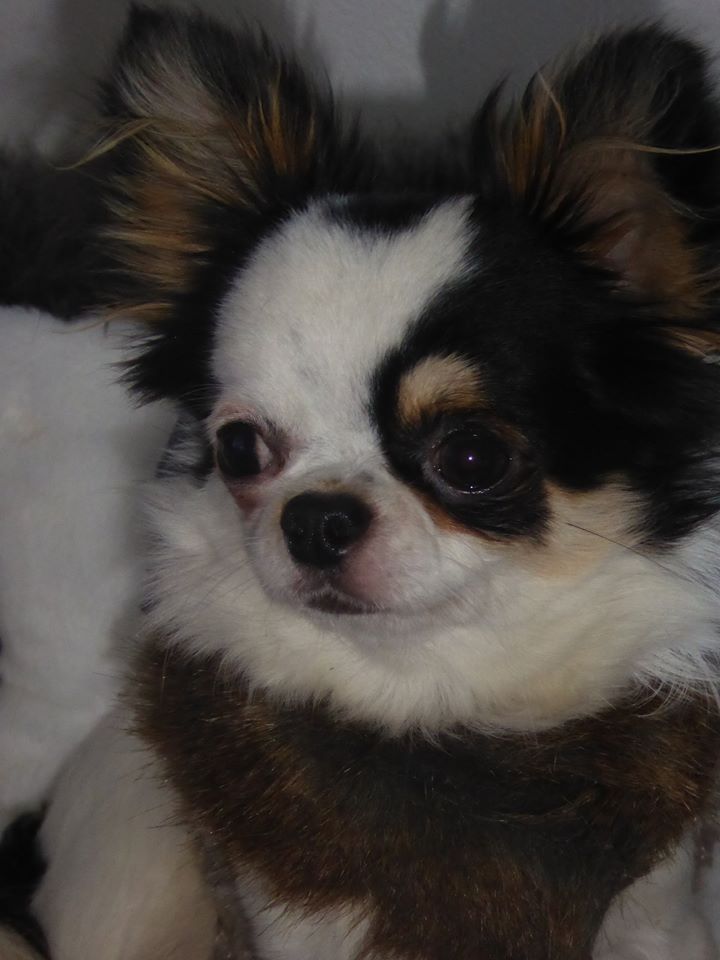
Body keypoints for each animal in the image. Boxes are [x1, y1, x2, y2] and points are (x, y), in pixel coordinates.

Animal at [4, 6, 720, 958]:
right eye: (239, 449)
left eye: (471, 458)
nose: (316, 518)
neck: (438, 698)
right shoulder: (295, 913)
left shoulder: (658, 910)